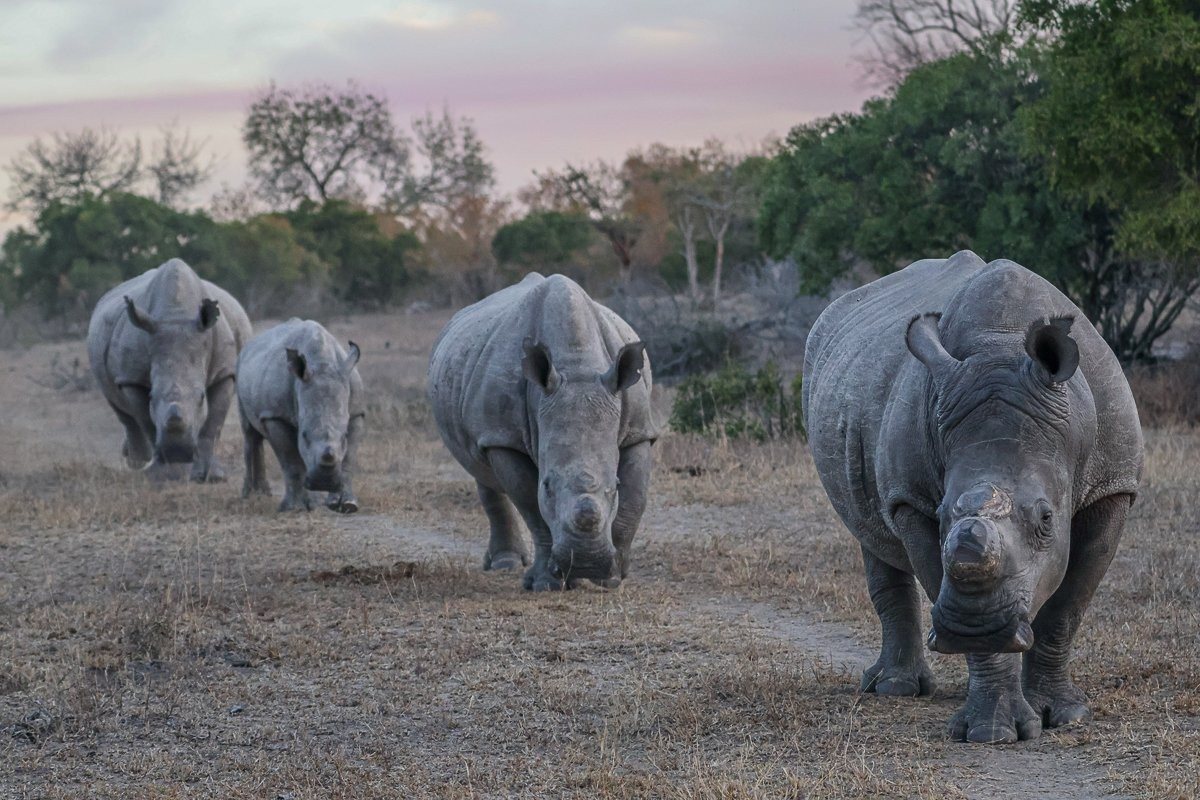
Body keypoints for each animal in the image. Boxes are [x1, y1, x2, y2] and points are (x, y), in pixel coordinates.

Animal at [87, 259, 252, 481]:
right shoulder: (131, 377)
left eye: (201, 398)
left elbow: (214, 420)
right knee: (121, 409)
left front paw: (213, 477)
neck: (176, 315)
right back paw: (136, 464)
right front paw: (162, 474)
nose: (178, 452)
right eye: (151, 396)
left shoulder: (225, 371)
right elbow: (146, 420)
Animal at [236, 319, 364, 513]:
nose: (324, 481)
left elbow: (348, 460)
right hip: (239, 373)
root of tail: (249, 345)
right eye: (304, 436)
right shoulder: (275, 415)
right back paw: (251, 496)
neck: (322, 363)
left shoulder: (357, 413)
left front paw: (347, 505)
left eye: (344, 437)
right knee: (250, 433)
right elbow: (291, 462)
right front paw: (293, 508)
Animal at [428, 273, 657, 590]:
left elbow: (635, 500)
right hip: (483, 415)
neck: (577, 364)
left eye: (615, 486)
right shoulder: (503, 436)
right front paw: (546, 583)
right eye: (547, 486)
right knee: (480, 468)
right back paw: (505, 564)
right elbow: (530, 504)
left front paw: (612, 578)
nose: (585, 563)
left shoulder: (639, 429)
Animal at [802, 251, 1142, 744]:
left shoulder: (1113, 486)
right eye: (943, 512)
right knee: (870, 532)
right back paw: (894, 688)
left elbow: (1067, 606)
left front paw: (1065, 715)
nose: (972, 625)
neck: (1002, 347)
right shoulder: (912, 499)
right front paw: (993, 732)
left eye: (1046, 519)